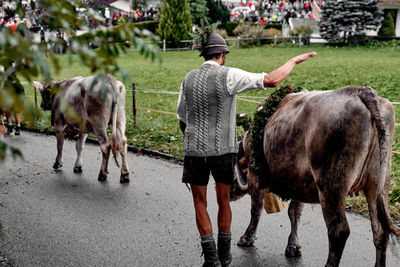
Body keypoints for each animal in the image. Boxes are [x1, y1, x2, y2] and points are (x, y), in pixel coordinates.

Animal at [231, 86, 400, 267]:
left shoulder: (255, 176)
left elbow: (256, 209)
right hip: (378, 182)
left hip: (331, 183)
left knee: (339, 230)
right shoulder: (297, 182)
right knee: (380, 231)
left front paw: (247, 238)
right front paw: (293, 246)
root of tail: (361, 90)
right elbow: (294, 212)